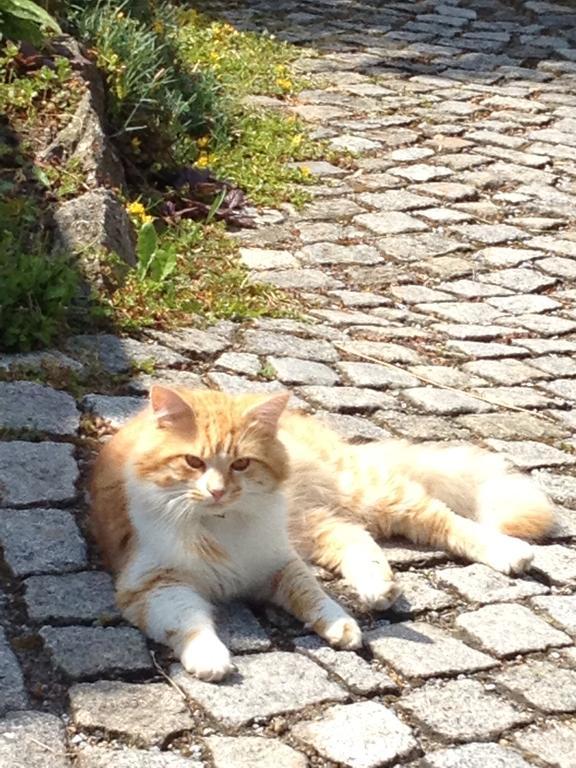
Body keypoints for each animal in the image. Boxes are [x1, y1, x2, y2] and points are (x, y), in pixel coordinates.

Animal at [90, 388, 552, 680]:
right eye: (193, 462)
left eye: (241, 464)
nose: (218, 491)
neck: (222, 525)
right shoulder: (154, 586)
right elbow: (191, 623)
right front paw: (210, 659)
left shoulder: (280, 562)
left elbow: (313, 596)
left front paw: (339, 623)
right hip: (316, 524)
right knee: (356, 537)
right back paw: (377, 587)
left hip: (369, 495)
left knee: (442, 519)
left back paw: (509, 552)